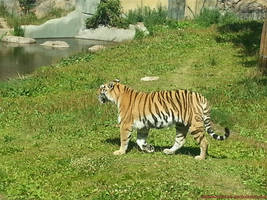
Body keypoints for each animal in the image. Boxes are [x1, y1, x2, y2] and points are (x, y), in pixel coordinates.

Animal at [98, 79, 230, 159]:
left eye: (101, 88)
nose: (96, 93)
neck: (118, 95)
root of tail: (201, 97)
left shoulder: (125, 124)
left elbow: (124, 140)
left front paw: (120, 152)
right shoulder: (143, 126)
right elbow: (140, 141)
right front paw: (149, 149)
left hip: (195, 124)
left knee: (204, 142)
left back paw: (200, 157)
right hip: (181, 125)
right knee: (180, 140)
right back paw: (169, 151)